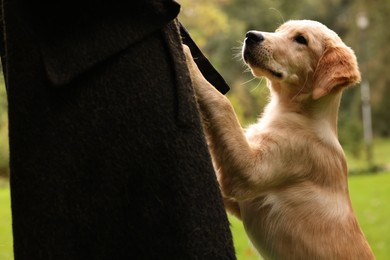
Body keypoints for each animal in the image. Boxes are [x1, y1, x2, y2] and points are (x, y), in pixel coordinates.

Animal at [184, 20, 376, 260]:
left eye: (301, 39)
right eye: (279, 30)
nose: (251, 35)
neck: (300, 114)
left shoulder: (249, 173)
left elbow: (222, 103)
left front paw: (188, 58)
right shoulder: (235, 197)